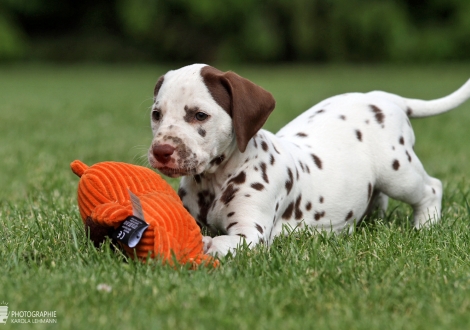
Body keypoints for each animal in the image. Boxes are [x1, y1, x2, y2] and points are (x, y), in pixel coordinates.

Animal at [147, 63, 470, 256]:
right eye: (156, 114)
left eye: (200, 115)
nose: (161, 151)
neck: (215, 179)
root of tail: (384, 98)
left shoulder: (251, 233)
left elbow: (220, 242)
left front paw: (203, 245)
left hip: (397, 171)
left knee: (431, 188)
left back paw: (425, 225)